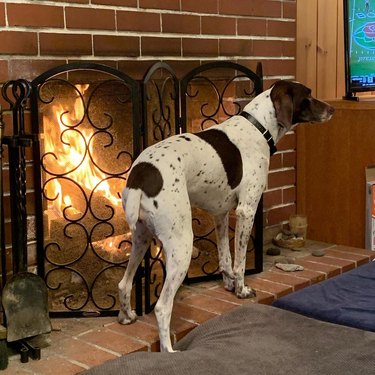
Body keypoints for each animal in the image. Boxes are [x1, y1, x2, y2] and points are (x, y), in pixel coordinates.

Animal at [118, 80, 334, 352]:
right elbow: (240, 262)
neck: (259, 128)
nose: (332, 109)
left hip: (141, 239)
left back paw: (127, 316)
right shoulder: (246, 210)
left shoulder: (220, 214)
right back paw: (169, 350)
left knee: (124, 284)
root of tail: (141, 175)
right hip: (181, 244)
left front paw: (229, 284)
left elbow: (225, 258)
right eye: (308, 95)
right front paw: (241, 290)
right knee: (162, 307)